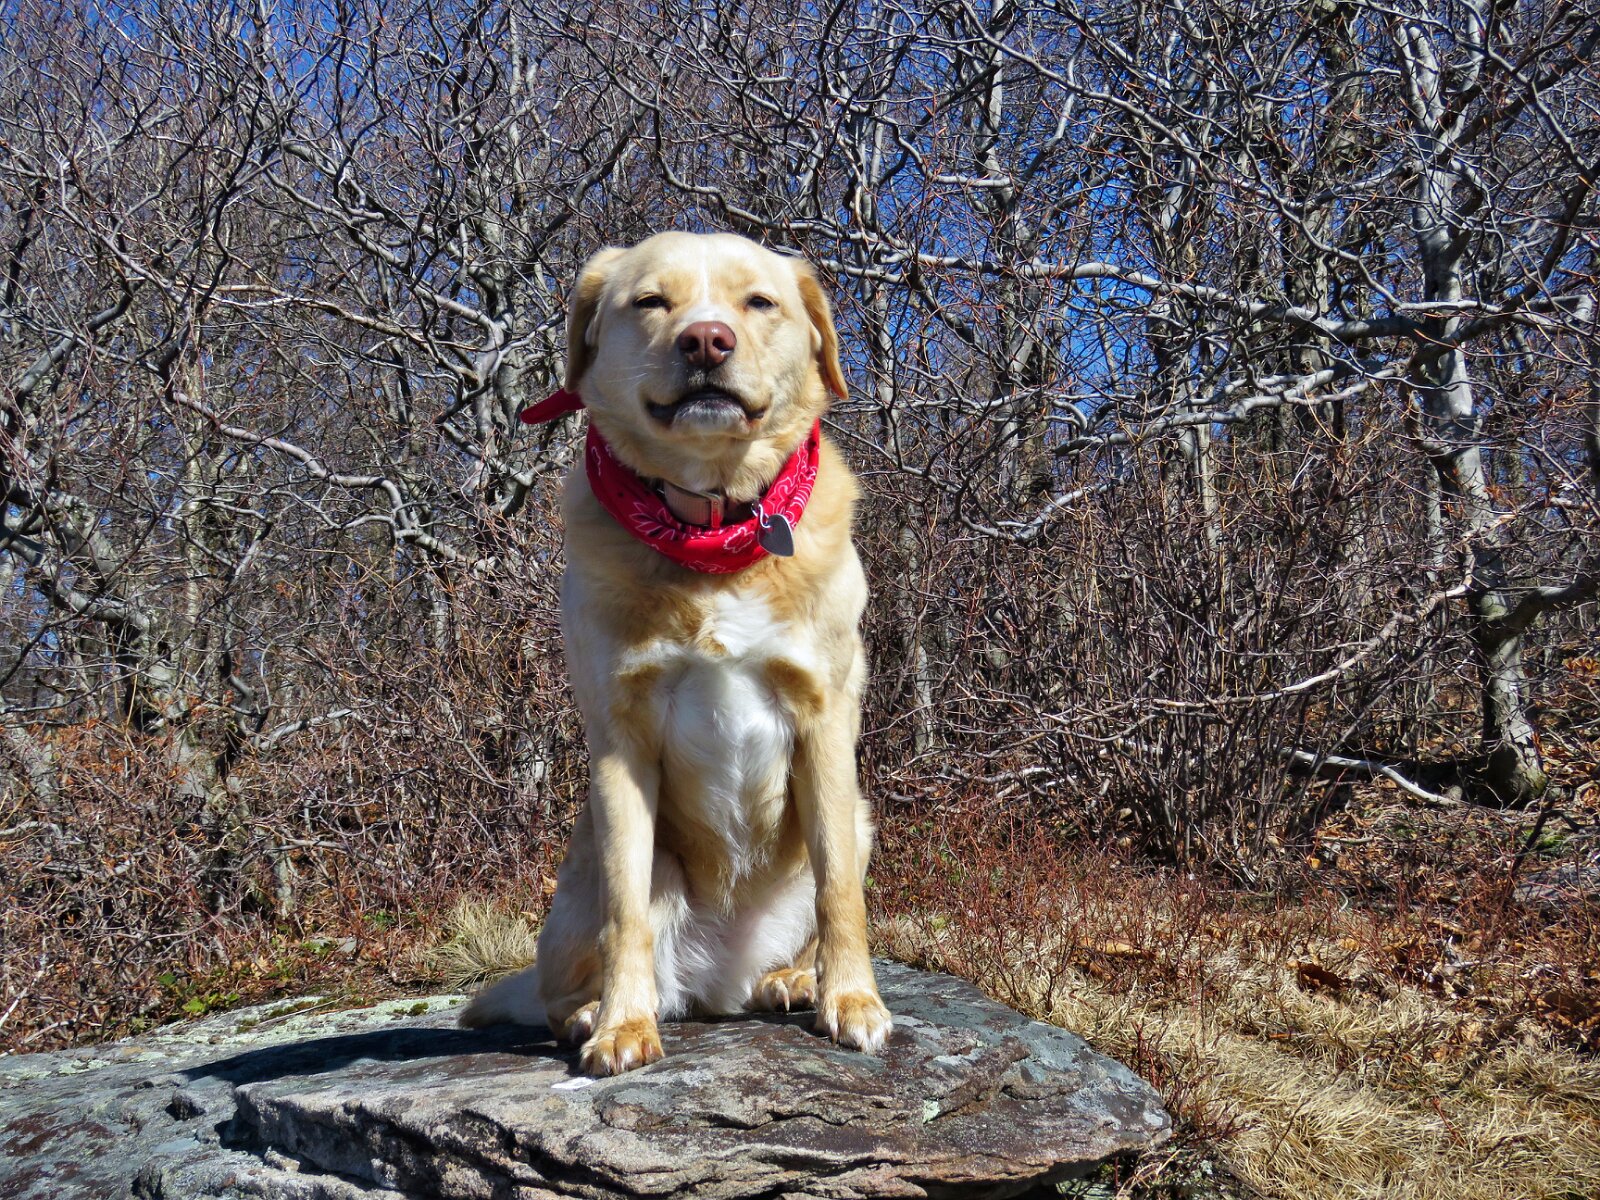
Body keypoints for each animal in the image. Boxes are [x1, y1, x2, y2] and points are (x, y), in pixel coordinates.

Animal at [461, 232, 891, 1076]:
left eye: (758, 302)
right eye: (651, 302)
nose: (705, 340)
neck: (709, 523)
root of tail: (717, 983)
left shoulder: (825, 725)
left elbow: (840, 895)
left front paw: (852, 999)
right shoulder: (620, 745)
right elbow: (627, 910)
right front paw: (621, 1025)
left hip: (857, 818)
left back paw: (790, 978)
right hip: (585, 884)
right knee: (570, 978)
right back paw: (595, 1011)